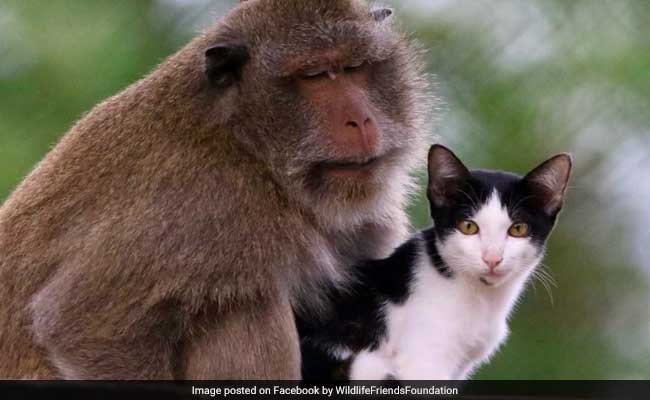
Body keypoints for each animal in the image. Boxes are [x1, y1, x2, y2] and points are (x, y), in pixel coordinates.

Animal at [1, 0, 430, 380]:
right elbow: (82, 326)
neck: (246, 146)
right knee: (246, 306)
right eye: (315, 75)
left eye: (355, 68)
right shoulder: (203, 206)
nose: (361, 120)